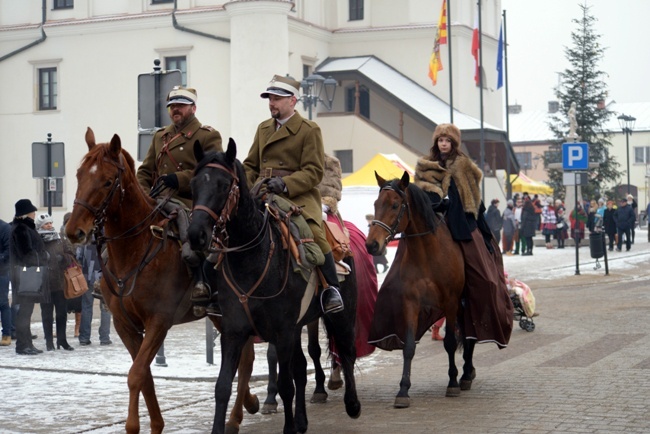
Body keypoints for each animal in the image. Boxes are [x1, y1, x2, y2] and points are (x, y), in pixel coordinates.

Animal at [65, 128, 258, 434]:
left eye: (107, 181)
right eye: (79, 175)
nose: (74, 231)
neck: (133, 251)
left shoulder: (159, 321)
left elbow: (136, 373)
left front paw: (133, 426)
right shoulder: (124, 325)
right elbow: (144, 374)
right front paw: (156, 424)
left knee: (247, 359)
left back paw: (235, 417)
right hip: (219, 315)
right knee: (244, 358)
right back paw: (247, 405)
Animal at [187, 140, 360, 434]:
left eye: (224, 184)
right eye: (195, 181)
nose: (195, 233)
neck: (252, 258)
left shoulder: (282, 332)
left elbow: (285, 385)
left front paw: (287, 426)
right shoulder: (234, 332)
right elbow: (223, 386)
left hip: (340, 315)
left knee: (347, 352)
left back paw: (352, 404)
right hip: (299, 326)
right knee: (302, 368)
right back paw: (302, 420)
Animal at [362, 171, 474, 408]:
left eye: (395, 205)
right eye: (375, 203)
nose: (372, 245)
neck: (428, 254)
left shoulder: (450, 302)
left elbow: (450, 342)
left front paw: (452, 382)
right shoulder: (411, 304)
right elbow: (409, 348)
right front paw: (403, 390)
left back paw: (467, 373)